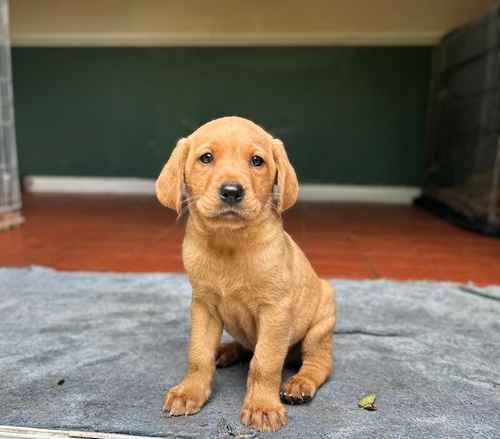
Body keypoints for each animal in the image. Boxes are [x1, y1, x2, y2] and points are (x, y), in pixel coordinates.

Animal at [156, 117, 336, 434]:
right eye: (206, 158)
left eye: (256, 161)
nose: (231, 191)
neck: (229, 245)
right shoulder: (203, 306)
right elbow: (198, 355)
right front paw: (190, 391)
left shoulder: (275, 311)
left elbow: (265, 363)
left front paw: (262, 407)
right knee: (244, 347)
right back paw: (225, 351)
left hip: (322, 320)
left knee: (318, 362)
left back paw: (300, 383)